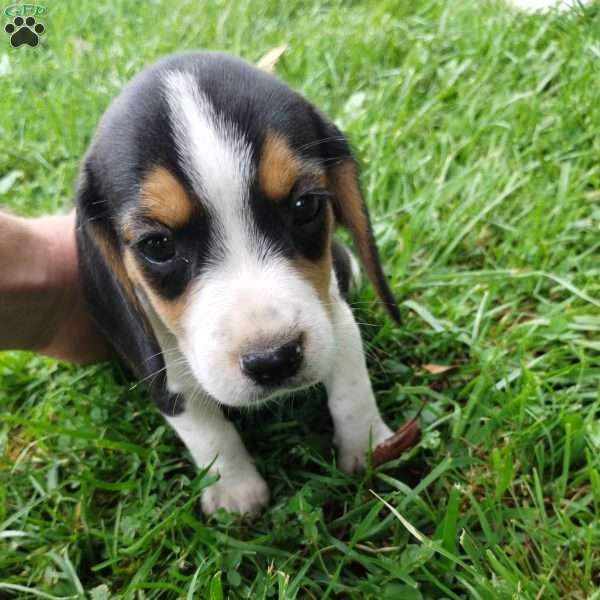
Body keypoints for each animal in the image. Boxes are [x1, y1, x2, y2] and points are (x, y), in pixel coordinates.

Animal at [77, 50, 400, 516]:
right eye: (157, 245)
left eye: (305, 206)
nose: (274, 360)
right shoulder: (166, 372)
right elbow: (208, 433)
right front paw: (236, 491)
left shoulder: (335, 322)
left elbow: (351, 391)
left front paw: (370, 446)